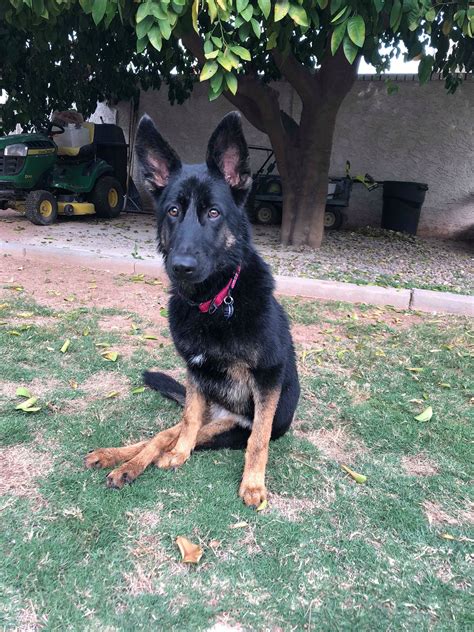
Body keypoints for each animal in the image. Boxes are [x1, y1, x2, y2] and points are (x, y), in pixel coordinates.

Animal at [85, 112, 300, 507]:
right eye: (173, 211)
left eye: (213, 212)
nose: (181, 266)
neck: (214, 304)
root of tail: (222, 412)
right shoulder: (195, 373)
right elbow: (183, 428)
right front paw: (177, 456)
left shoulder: (267, 378)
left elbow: (258, 440)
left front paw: (253, 485)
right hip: (203, 409)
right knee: (165, 434)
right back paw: (121, 460)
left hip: (226, 429)